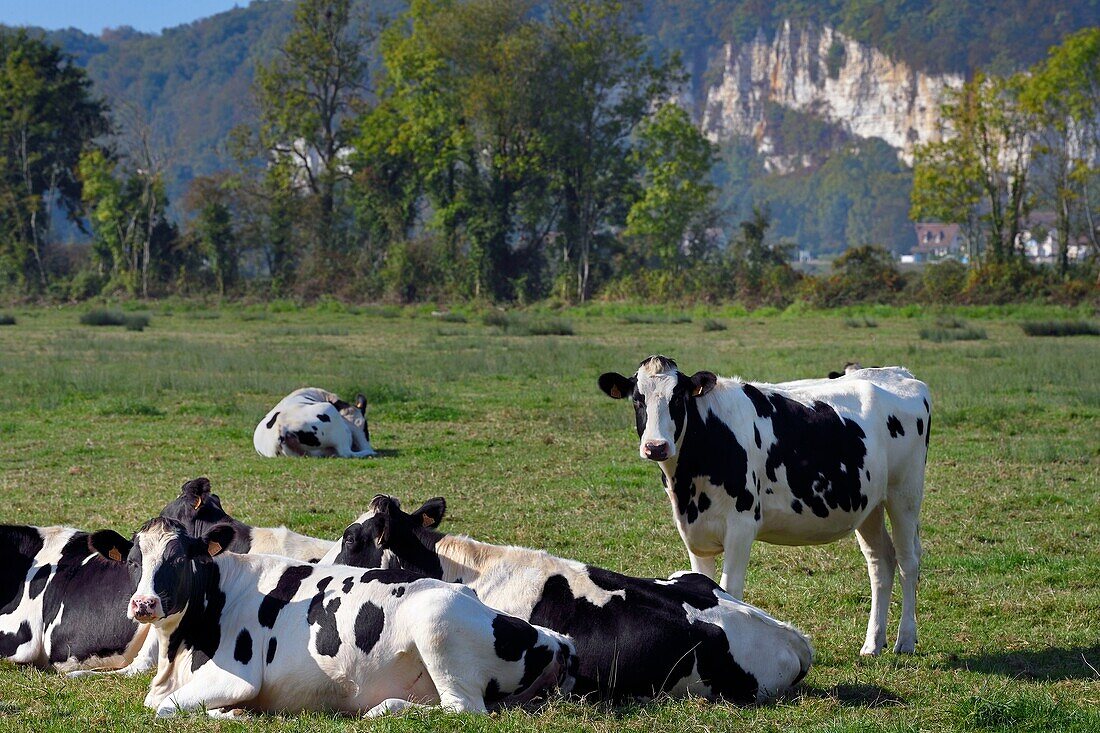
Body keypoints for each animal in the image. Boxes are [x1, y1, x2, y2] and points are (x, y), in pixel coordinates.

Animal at [85, 517, 576, 717]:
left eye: (179, 560)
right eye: (134, 561)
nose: (144, 604)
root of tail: (553, 638)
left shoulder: (236, 677)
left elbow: (161, 707)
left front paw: (232, 714)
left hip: (436, 624)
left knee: (463, 709)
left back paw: (384, 711)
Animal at [602, 354, 928, 655]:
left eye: (678, 398)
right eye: (637, 399)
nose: (656, 447)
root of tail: (898, 373)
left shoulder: (741, 526)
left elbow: (729, 590)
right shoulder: (694, 531)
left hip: (905, 494)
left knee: (908, 561)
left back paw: (905, 640)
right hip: (869, 505)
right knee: (880, 562)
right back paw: (873, 643)